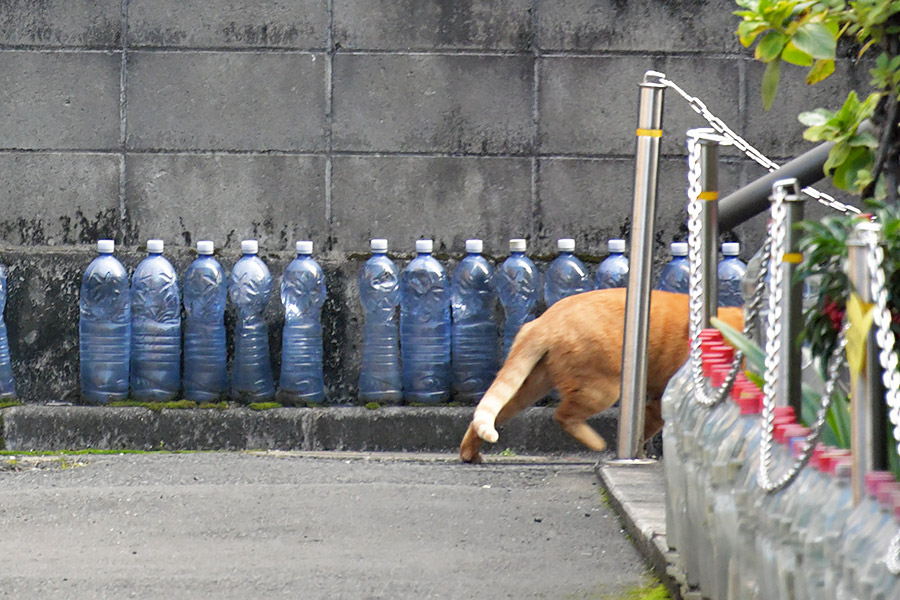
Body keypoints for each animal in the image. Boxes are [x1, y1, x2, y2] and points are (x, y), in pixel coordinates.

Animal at [460, 288, 740, 462]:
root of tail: (544, 321)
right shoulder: (664, 398)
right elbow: (650, 426)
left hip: (533, 383)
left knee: (493, 412)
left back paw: (469, 453)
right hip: (602, 388)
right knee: (562, 415)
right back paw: (597, 443)